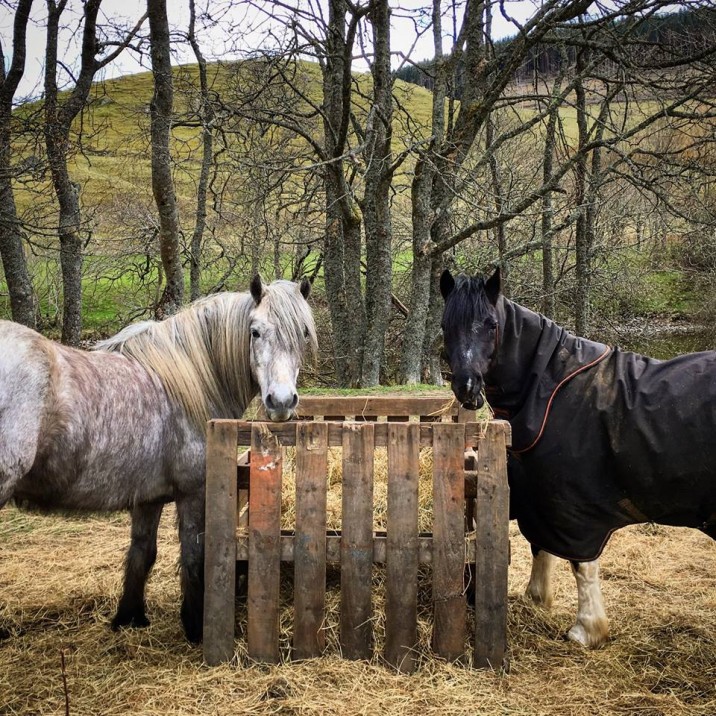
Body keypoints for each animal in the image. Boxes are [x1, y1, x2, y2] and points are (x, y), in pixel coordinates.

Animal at [0, 275, 316, 643]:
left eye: (303, 333)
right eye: (255, 331)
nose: (281, 402)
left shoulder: (147, 498)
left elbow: (142, 554)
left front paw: (129, 618)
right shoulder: (193, 493)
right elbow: (193, 555)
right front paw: (195, 626)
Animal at [440, 268, 715, 648]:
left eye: (491, 324)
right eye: (444, 325)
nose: (466, 387)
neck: (551, 388)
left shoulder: (576, 507)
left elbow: (581, 565)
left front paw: (587, 629)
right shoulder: (540, 496)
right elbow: (540, 545)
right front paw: (537, 597)